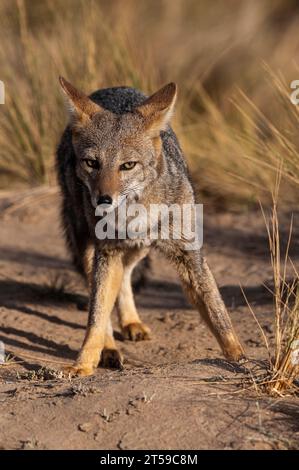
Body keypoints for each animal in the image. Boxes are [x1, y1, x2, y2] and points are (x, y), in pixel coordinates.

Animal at [56, 78, 246, 378]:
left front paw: (239, 357)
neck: (137, 212)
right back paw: (109, 349)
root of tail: (113, 87)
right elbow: (96, 316)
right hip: (91, 248)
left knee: (125, 277)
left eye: (127, 165)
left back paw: (131, 322)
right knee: (100, 291)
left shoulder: (188, 254)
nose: (103, 199)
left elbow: (217, 311)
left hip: (140, 249)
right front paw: (83, 363)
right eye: (92, 163)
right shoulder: (106, 252)